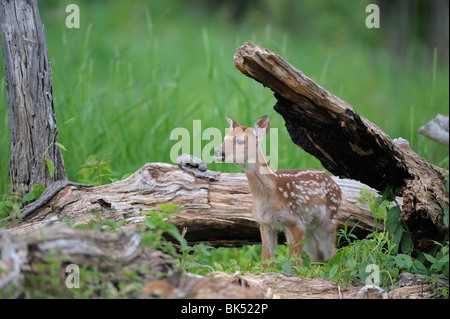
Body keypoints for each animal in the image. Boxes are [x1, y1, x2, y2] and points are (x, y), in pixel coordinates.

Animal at [214, 115, 342, 268]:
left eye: (240, 141)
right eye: (224, 138)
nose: (216, 151)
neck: (271, 192)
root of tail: (336, 184)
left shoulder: (295, 222)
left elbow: (294, 262)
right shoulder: (265, 224)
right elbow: (266, 260)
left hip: (329, 219)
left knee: (332, 252)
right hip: (310, 227)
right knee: (318, 255)